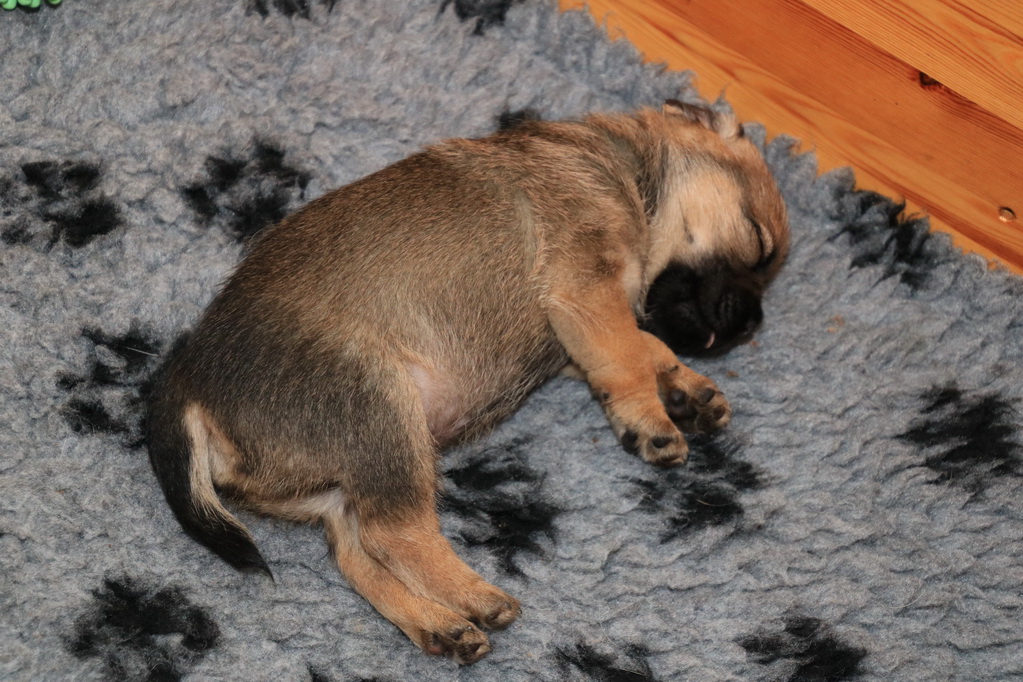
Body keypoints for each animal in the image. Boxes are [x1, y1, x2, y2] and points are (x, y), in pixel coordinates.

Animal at [146, 101, 789, 664]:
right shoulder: (585, 292)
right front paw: (652, 415)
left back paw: (439, 625)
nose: (753, 323)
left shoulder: (582, 336)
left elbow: (647, 344)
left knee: (357, 555)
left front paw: (685, 388)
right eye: (758, 242)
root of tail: (188, 383)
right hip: (384, 407)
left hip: (349, 476)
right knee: (393, 533)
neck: (626, 171)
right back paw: (476, 597)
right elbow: (628, 353)